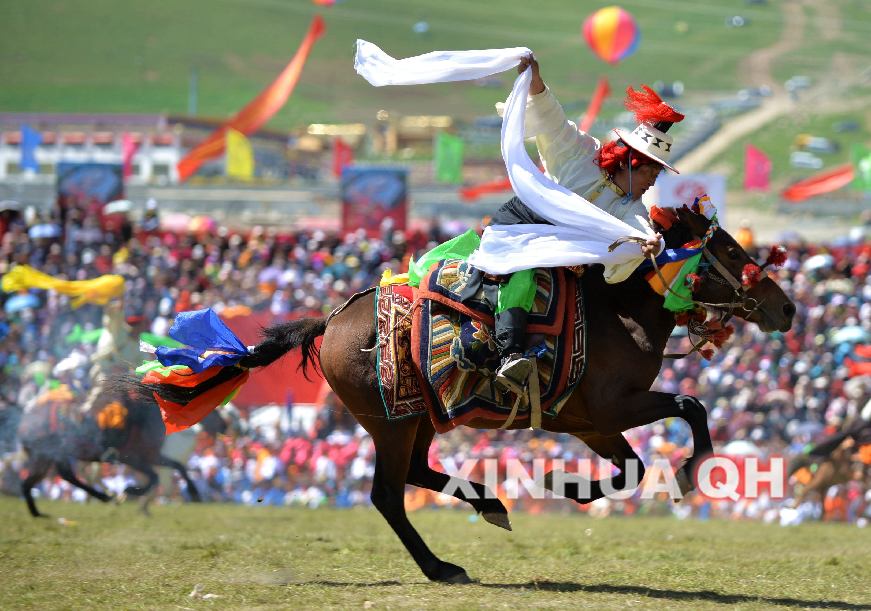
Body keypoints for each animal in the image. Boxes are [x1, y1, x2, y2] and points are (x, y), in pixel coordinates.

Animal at [152, 207, 796, 584]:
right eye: (731, 252)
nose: (787, 308)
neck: (619, 311)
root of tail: (330, 321)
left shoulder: (588, 423)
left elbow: (633, 467)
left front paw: (566, 486)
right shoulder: (613, 406)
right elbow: (691, 408)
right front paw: (685, 475)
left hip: (420, 418)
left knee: (416, 474)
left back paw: (490, 504)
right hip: (390, 423)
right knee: (388, 495)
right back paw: (441, 566)